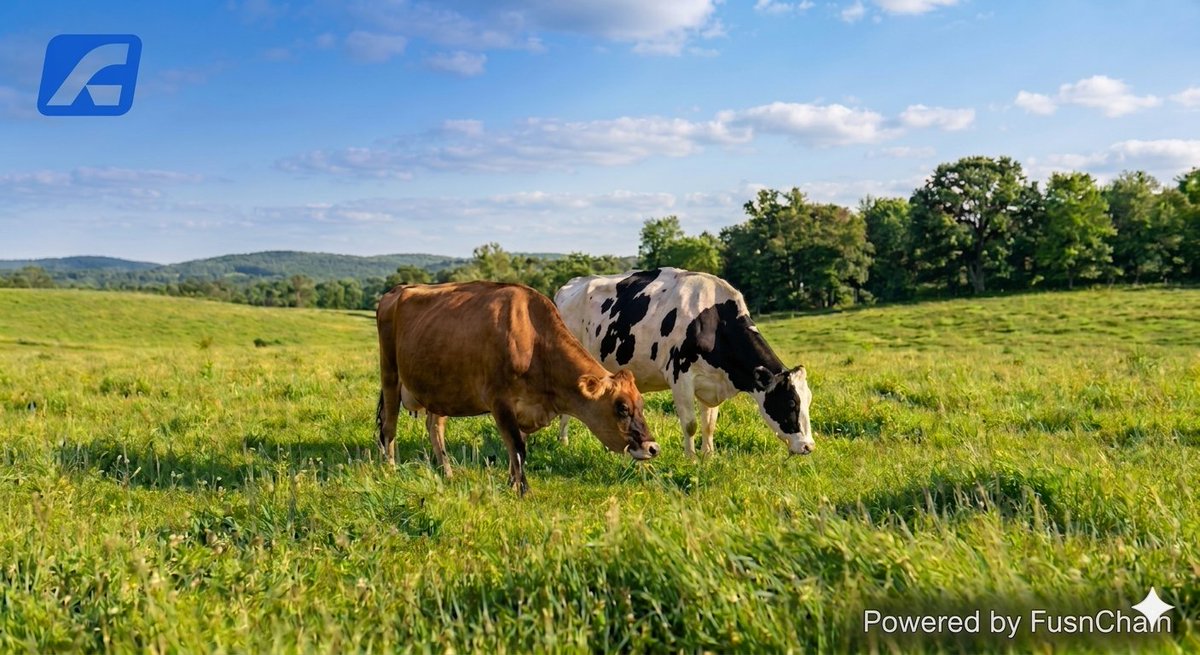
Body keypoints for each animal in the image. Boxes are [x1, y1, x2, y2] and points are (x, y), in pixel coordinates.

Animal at [376, 281, 659, 495]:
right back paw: (389, 468)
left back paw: (447, 472)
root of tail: (398, 289)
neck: (534, 341)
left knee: (434, 427)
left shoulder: (525, 407)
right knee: (389, 426)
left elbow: (517, 449)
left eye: (641, 405)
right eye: (622, 408)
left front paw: (512, 483)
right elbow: (517, 447)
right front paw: (523, 491)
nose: (652, 447)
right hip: (389, 372)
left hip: (439, 388)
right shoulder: (500, 402)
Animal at [554, 268, 814, 457]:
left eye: (808, 400)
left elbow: (709, 424)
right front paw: (690, 459)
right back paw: (564, 443)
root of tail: (569, 286)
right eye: (791, 402)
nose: (809, 446)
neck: (714, 323)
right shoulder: (680, 377)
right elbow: (690, 424)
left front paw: (708, 457)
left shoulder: (711, 382)